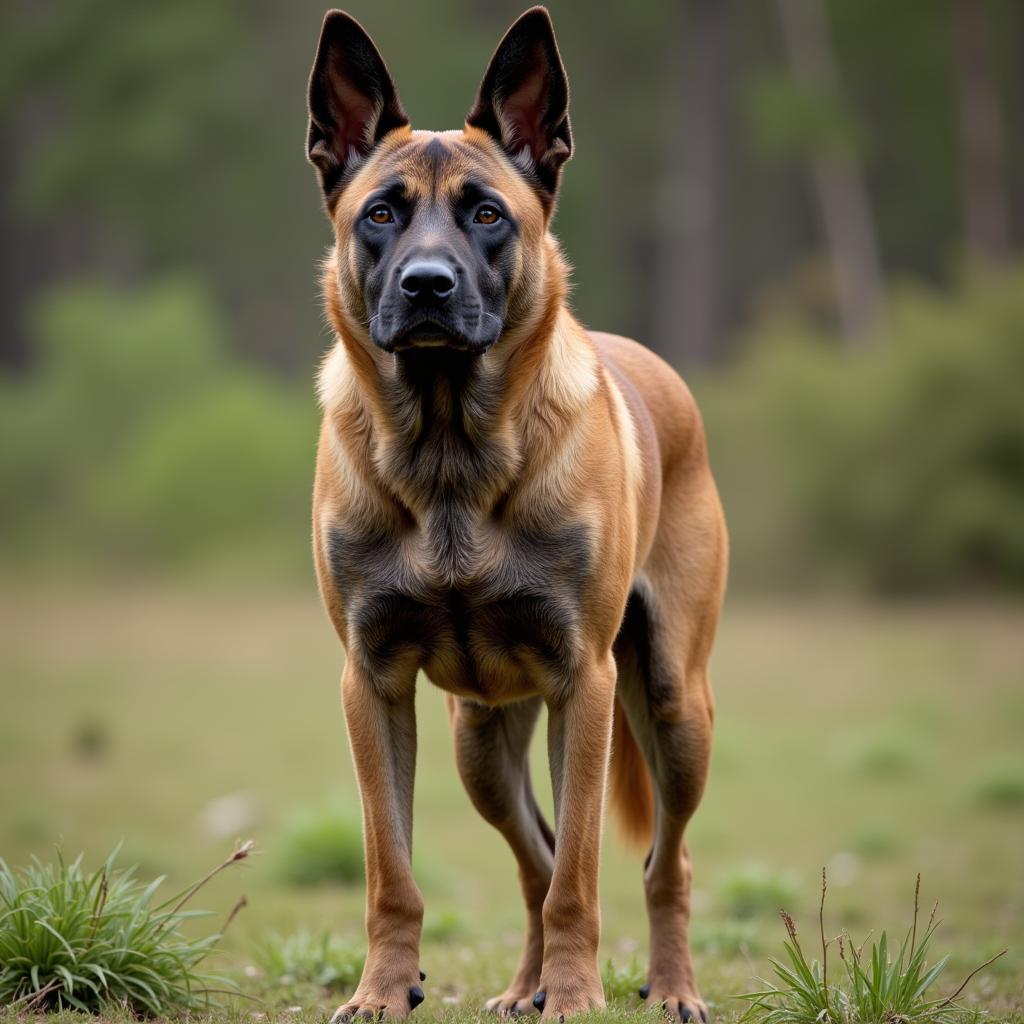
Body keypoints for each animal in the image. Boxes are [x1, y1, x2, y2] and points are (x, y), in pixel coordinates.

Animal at [305, 9, 729, 1024]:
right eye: (380, 214)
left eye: (488, 214)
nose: (426, 286)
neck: (449, 455)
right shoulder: (371, 684)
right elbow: (392, 872)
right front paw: (384, 991)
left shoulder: (587, 683)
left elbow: (581, 872)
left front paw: (576, 995)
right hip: (480, 741)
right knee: (533, 854)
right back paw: (523, 985)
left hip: (674, 706)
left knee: (663, 863)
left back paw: (671, 988)